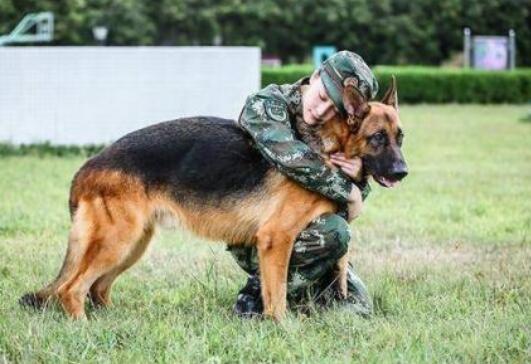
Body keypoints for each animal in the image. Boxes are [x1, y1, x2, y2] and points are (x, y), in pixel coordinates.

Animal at [17, 77, 408, 322]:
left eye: (400, 136)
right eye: (377, 138)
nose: (403, 171)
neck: (329, 148)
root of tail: (86, 167)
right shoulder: (276, 239)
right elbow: (278, 294)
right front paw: (282, 327)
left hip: (133, 244)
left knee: (96, 287)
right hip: (117, 241)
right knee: (71, 289)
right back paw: (84, 327)